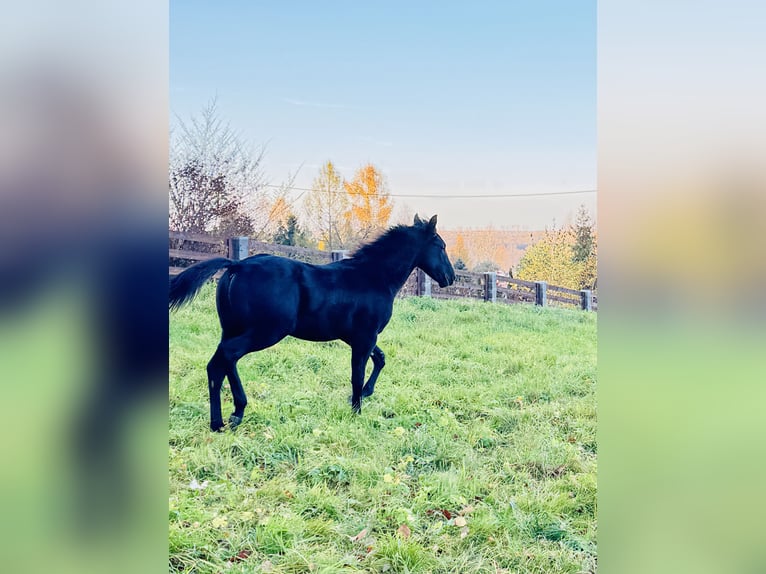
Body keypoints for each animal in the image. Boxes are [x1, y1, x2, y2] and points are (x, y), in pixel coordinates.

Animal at [169, 214, 455, 431]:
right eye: (441, 246)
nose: (450, 278)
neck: (373, 277)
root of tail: (237, 265)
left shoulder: (357, 337)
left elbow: (380, 359)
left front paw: (364, 394)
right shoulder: (365, 337)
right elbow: (357, 373)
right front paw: (356, 409)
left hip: (231, 329)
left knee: (218, 365)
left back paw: (223, 419)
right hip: (265, 332)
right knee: (227, 357)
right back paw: (232, 414)